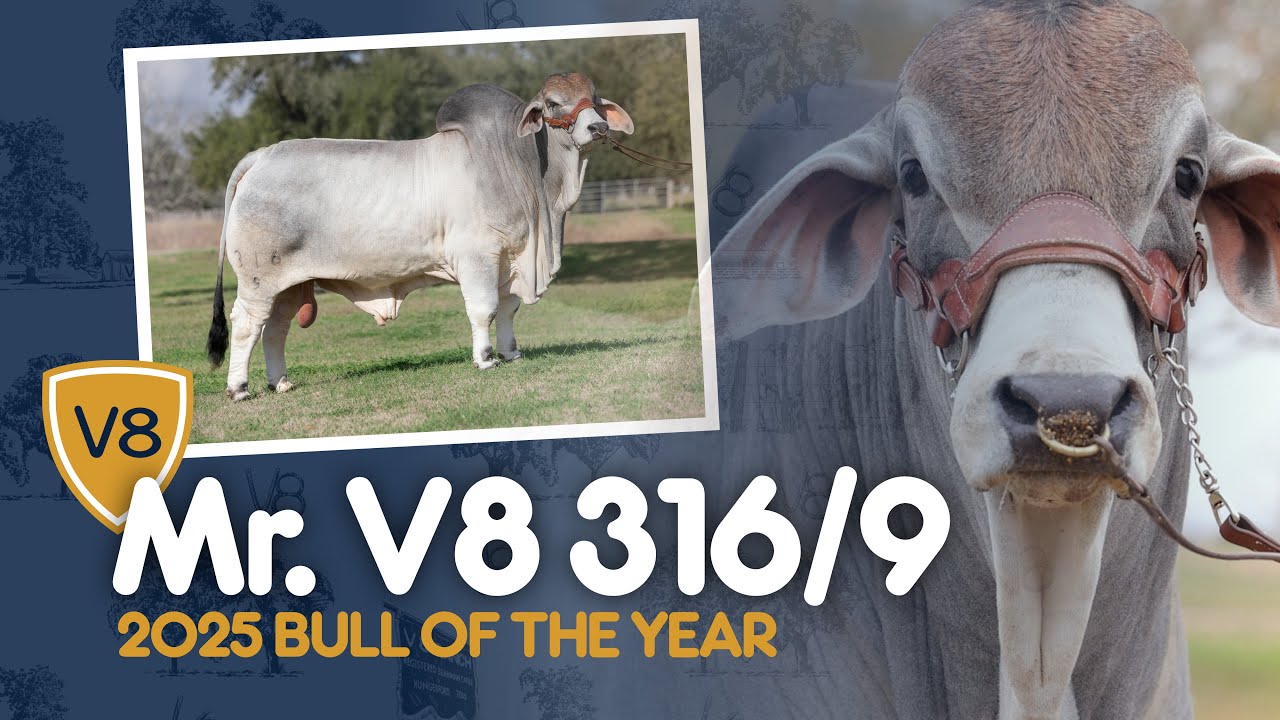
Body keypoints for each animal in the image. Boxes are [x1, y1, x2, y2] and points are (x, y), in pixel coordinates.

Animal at [205, 73, 633, 400]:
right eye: (554, 103)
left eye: (594, 99)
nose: (598, 127)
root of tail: (262, 155)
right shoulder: (477, 257)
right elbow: (485, 309)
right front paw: (485, 358)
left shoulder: (511, 258)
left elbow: (508, 309)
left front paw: (511, 353)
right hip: (258, 279)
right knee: (247, 324)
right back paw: (239, 388)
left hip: (290, 283)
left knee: (275, 328)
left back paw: (280, 382)